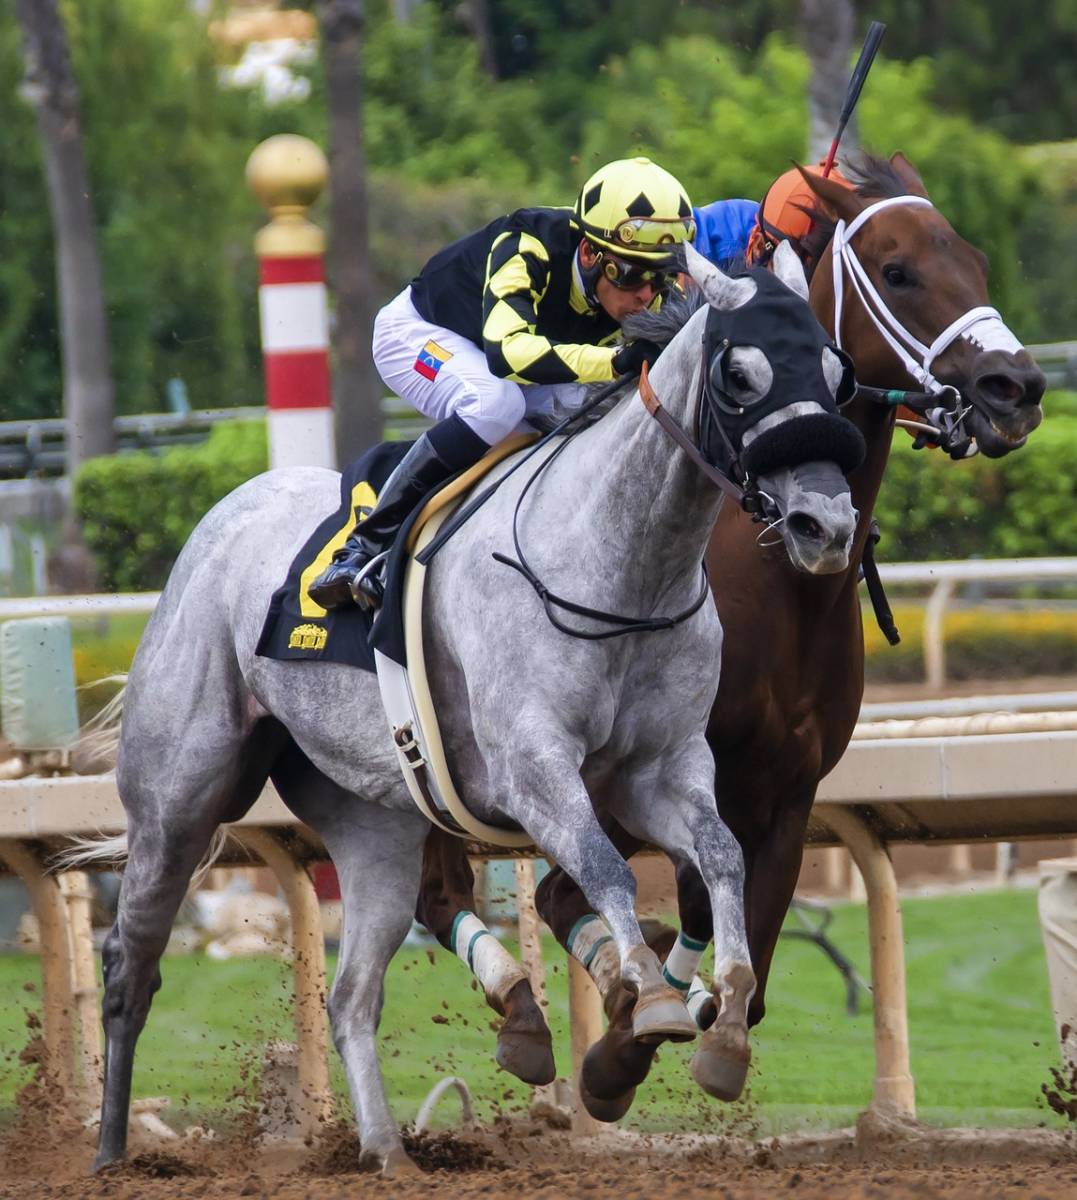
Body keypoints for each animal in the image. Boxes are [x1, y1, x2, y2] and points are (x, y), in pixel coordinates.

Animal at [81, 243, 853, 1171]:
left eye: (838, 374)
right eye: (741, 375)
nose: (825, 525)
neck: (617, 570)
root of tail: (222, 518)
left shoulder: (662, 770)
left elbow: (721, 858)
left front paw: (723, 1018)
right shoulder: (535, 772)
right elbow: (606, 869)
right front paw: (644, 992)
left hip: (373, 822)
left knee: (352, 993)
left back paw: (387, 1151)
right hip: (179, 796)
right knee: (131, 963)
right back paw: (113, 1153)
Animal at [410, 154, 1041, 1108]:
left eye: (973, 258)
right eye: (897, 271)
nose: (1016, 388)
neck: (768, 583)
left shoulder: (783, 793)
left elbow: (738, 941)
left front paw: (680, 1020)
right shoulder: (615, 781)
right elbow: (576, 900)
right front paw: (619, 1046)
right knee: (434, 886)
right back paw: (524, 1011)